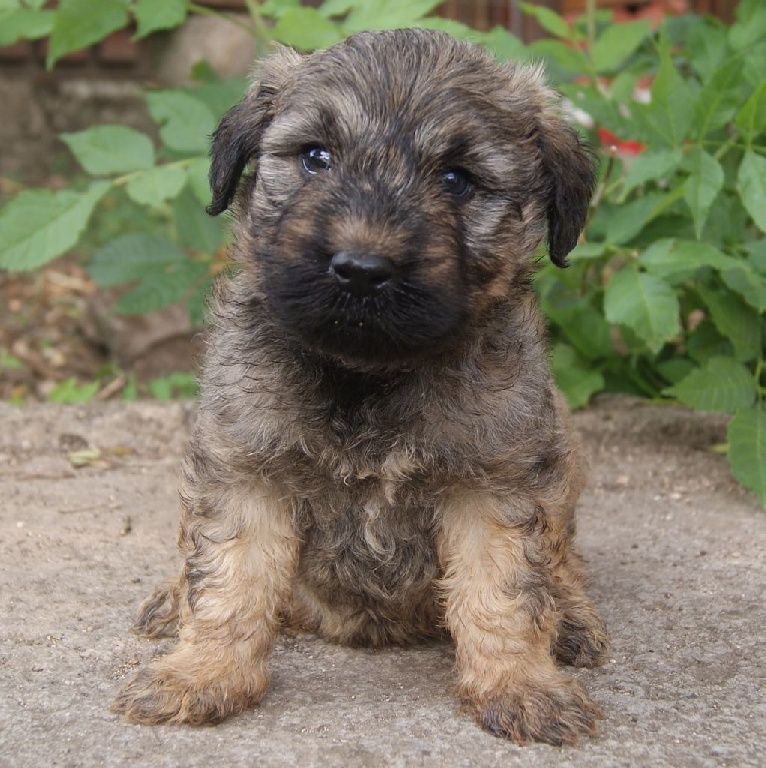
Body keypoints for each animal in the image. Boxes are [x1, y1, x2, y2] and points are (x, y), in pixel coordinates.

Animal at [111, 28, 608, 744]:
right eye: (315, 157)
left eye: (457, 178)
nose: (362, 269)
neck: (366, 377)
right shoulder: (246, 470)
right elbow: (229, 580)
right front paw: (200, 673)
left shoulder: (496, 479)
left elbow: (506, 588)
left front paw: (520, 684)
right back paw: (171, 600)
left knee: (565, 557)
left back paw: (570, 617)